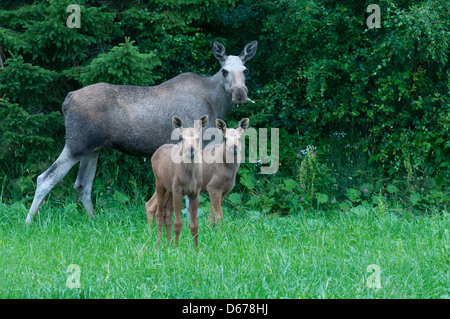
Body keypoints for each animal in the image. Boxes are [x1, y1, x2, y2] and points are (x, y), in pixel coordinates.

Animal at [24, 40, 256, 225]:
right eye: (225, 70)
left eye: (245, 70)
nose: (240, 94)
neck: (216, 102)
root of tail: (67, 100)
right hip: (76, 144)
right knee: (45, 178)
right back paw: (28, 222)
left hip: (92, 150)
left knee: (82, 184)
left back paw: (93, 219)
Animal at [150, 116, 208, 249]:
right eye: (182, 138)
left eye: (198, 138)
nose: (190, 150)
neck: (190, 174)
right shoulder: (178, 191)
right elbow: (178, 223)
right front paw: (177, 247)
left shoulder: (195, 193)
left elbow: (194, 225)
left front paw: (196, 249)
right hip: (160, 184)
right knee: (159, 214)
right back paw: (158, 246)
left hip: (170, 190)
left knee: (167, 214)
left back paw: (168, 243)